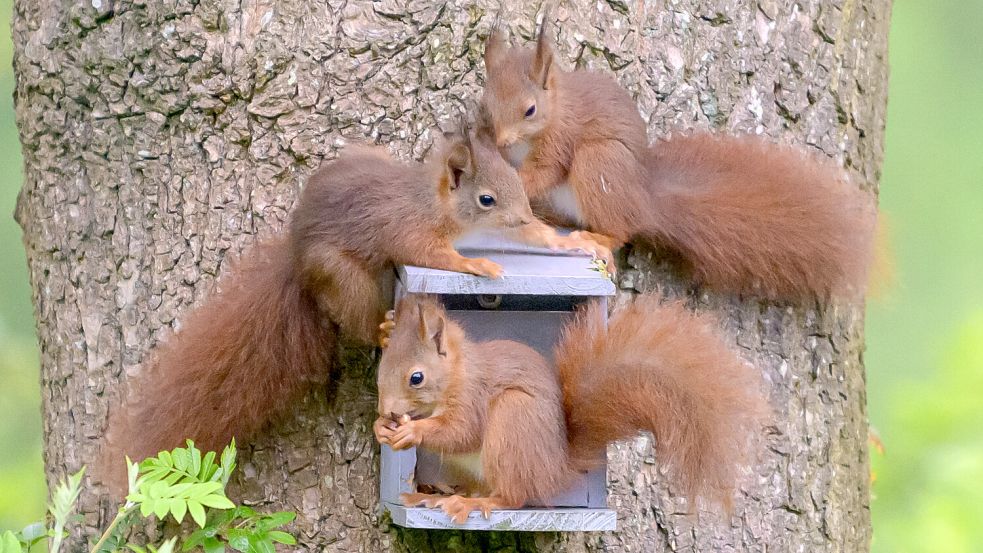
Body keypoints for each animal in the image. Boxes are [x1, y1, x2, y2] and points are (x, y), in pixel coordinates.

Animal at [100, 125, 608, 488]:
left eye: (518, 186)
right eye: (486, 198)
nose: (523, 214)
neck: (436, 203)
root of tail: (296, 254)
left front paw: (574, 242)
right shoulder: (411, 233)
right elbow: (436, 256)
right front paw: (476, 263)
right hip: (339, 274)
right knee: (358, 316)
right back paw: (382, 328)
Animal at [372, 294, 764, 520]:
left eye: (416, 377)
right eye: (381, 367)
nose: (388, 411)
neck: (457, 373)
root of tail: (556, 466)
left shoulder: (474, 396)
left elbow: (461, 431)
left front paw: (412, 430)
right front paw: (381, 428)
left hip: (514, 422)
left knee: (513, 497)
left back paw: (474, 503)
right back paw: (439, 497)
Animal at [476, 19, 876, 300]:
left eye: (530, 110)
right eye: (487, 105)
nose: (501, 139)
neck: (554, 111)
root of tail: (645, 203)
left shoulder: (562, 139)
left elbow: (545, 170)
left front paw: (513, 183)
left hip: (601, 163)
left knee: (620, 230)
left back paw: (596, 238)